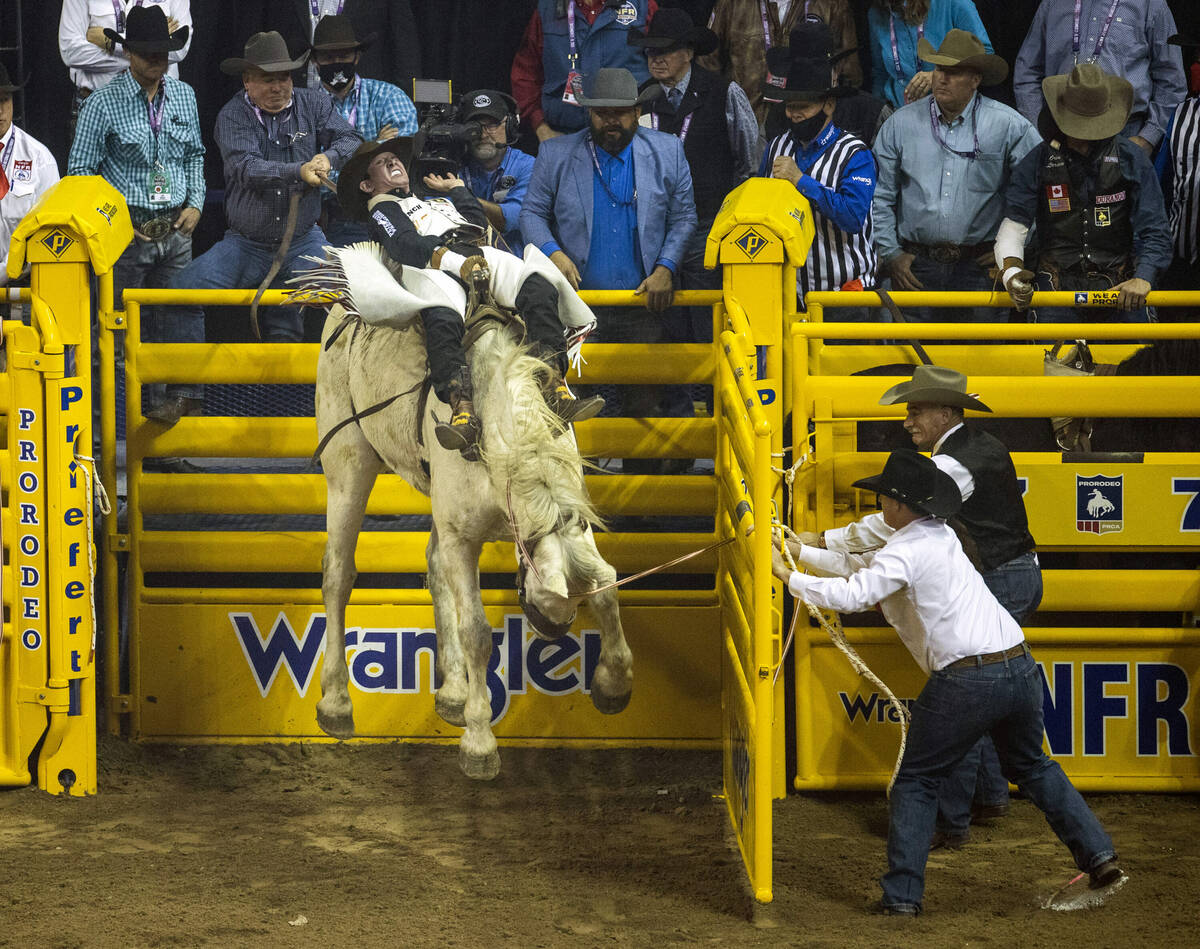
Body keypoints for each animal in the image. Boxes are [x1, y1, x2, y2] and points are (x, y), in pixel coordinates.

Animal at [304, 243, 633, 777]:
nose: (553, 629)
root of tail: (343, 301)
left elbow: (604, 584)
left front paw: (613, 684)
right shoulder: (463, 535)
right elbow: (477, 631)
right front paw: (480, 743)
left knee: (434, 567)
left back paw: (453, 693)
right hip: (348, 460)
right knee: (338, 571)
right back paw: (335, 704)